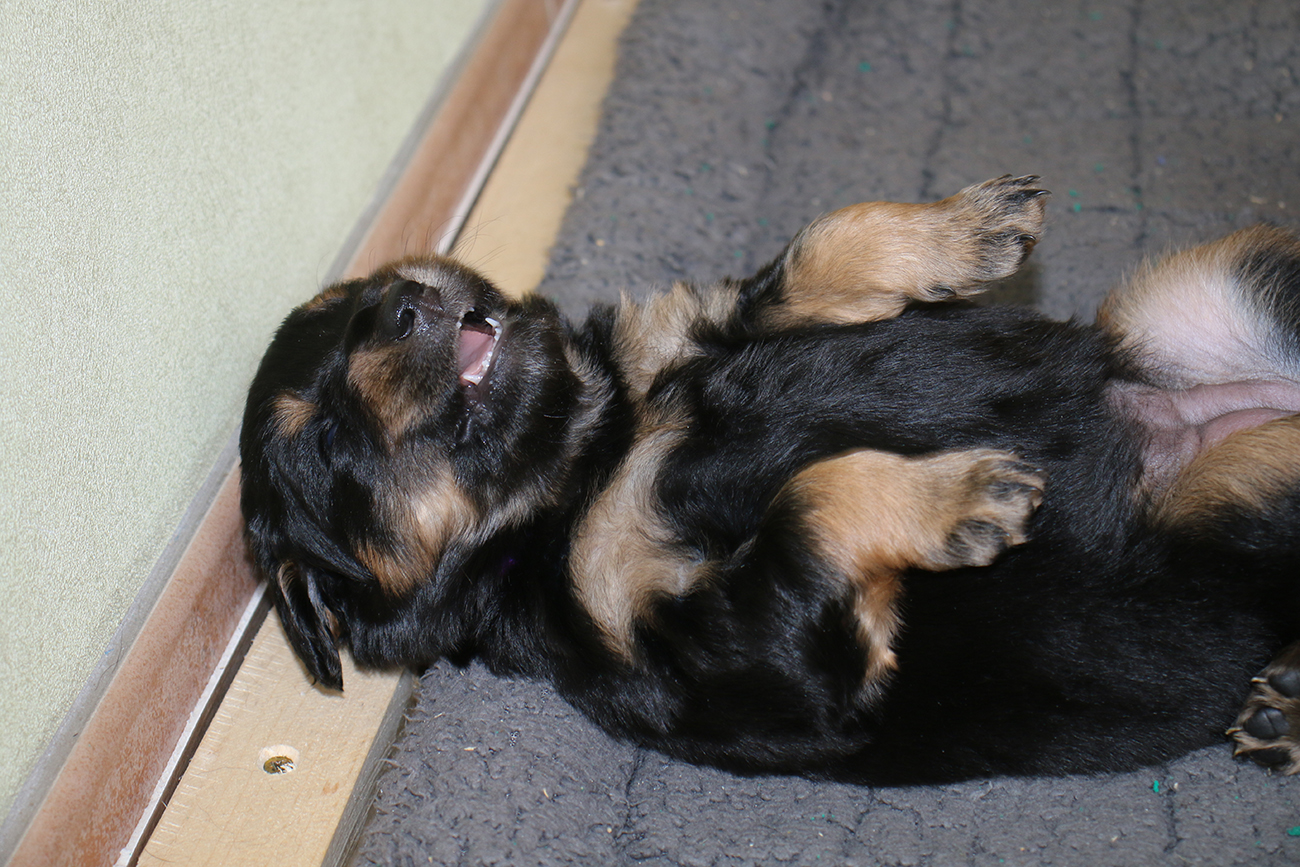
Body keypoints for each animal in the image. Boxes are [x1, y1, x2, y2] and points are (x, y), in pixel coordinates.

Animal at [239, 176, 1300, 784]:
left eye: (361, 298)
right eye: (323, 438)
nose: (403, 302)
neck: (588, 457)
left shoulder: (709, 327)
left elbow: (820, 251)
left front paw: (962, 229)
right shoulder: (752, 658)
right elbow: (808, 503)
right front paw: (956, 498)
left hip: (1216, 282)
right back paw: (1284, 707)